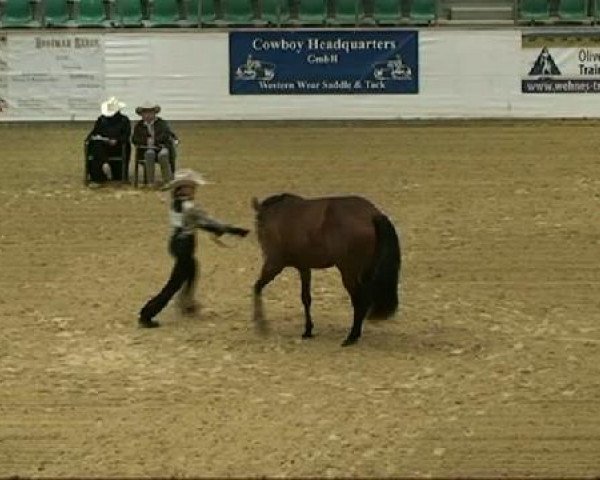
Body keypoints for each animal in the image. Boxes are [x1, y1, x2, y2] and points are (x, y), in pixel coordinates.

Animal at [251, 193, 400, 346]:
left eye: (259, 225)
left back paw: (351, 337)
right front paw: (308, 331)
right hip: (365, 272)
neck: (280, 215)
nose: (264, 250)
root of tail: (372, 214)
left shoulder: (275, 264)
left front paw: (260, 325)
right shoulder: (304, 267)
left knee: (360, 301)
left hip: (349, 273)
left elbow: (257, 287)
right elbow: (306, 298)